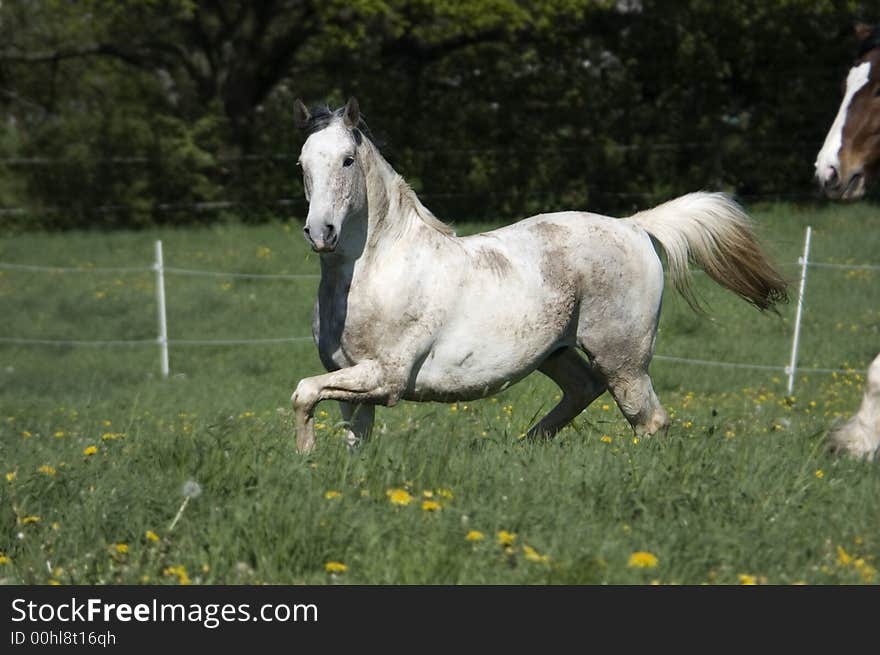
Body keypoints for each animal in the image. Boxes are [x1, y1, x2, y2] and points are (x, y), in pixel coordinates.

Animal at [292, 97, 788, 454]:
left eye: (347, 160)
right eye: (302, 164)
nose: (320, 232)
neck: (375, 273)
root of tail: (633, 226)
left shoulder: (387, 377)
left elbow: (303, 392)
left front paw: (305, 455)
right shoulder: (355, 385)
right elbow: (352, 438)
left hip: (623, 359)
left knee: (648, 419)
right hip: (556, 351)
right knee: (584, 389)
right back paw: (527, 445)